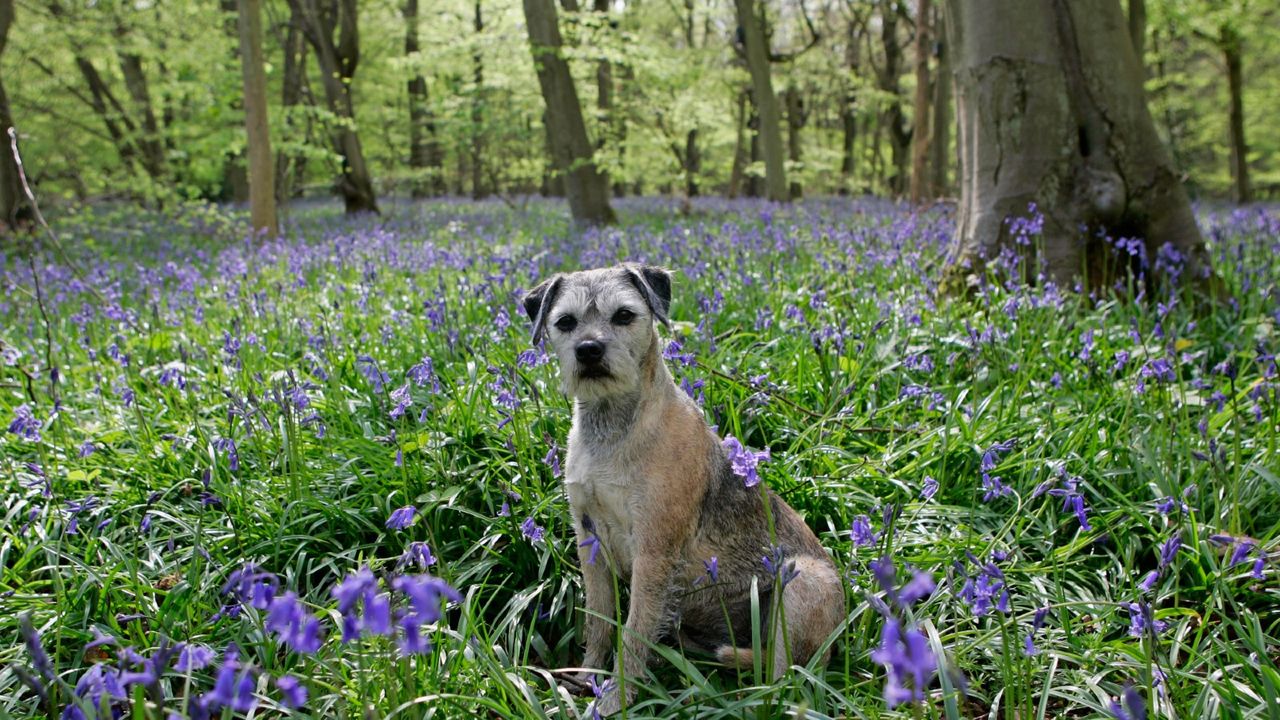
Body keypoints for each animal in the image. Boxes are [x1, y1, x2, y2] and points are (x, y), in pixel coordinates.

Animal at [524, 262, 844, 712]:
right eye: (565, 322)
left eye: (624, 315)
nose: (588, 350)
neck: (614, 428)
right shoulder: (590, 541)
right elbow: (599, 621)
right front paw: (588, 676)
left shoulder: (653, 553)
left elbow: (633, 632)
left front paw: (614, 701)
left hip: (800, 586)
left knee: (783, 675)